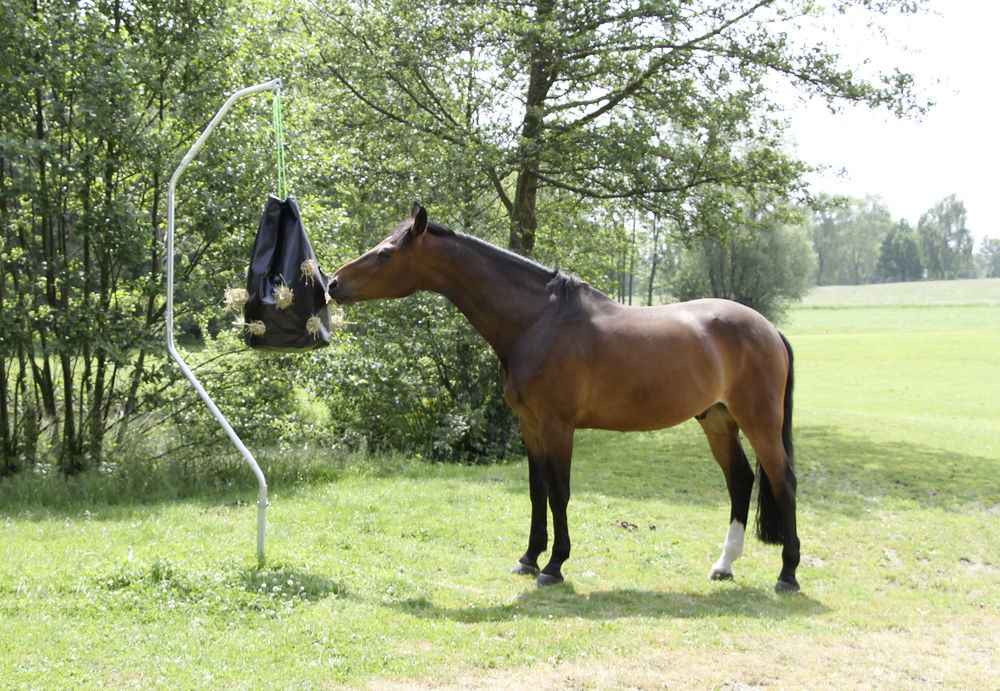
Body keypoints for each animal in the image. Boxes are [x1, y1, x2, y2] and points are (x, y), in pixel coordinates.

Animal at [332, 201, 800, 596]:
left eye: (386, 254)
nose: (334, 283)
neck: (539, 321)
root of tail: (769, 329)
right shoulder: (529, 423)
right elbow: (537, 491)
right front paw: (528, 558)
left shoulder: (558, 425)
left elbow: (559, 492)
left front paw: (554, 566)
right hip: (717, 420)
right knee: (740, 481)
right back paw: (725, 565)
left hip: (759, 423)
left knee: (783, 482)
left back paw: (788, 575)